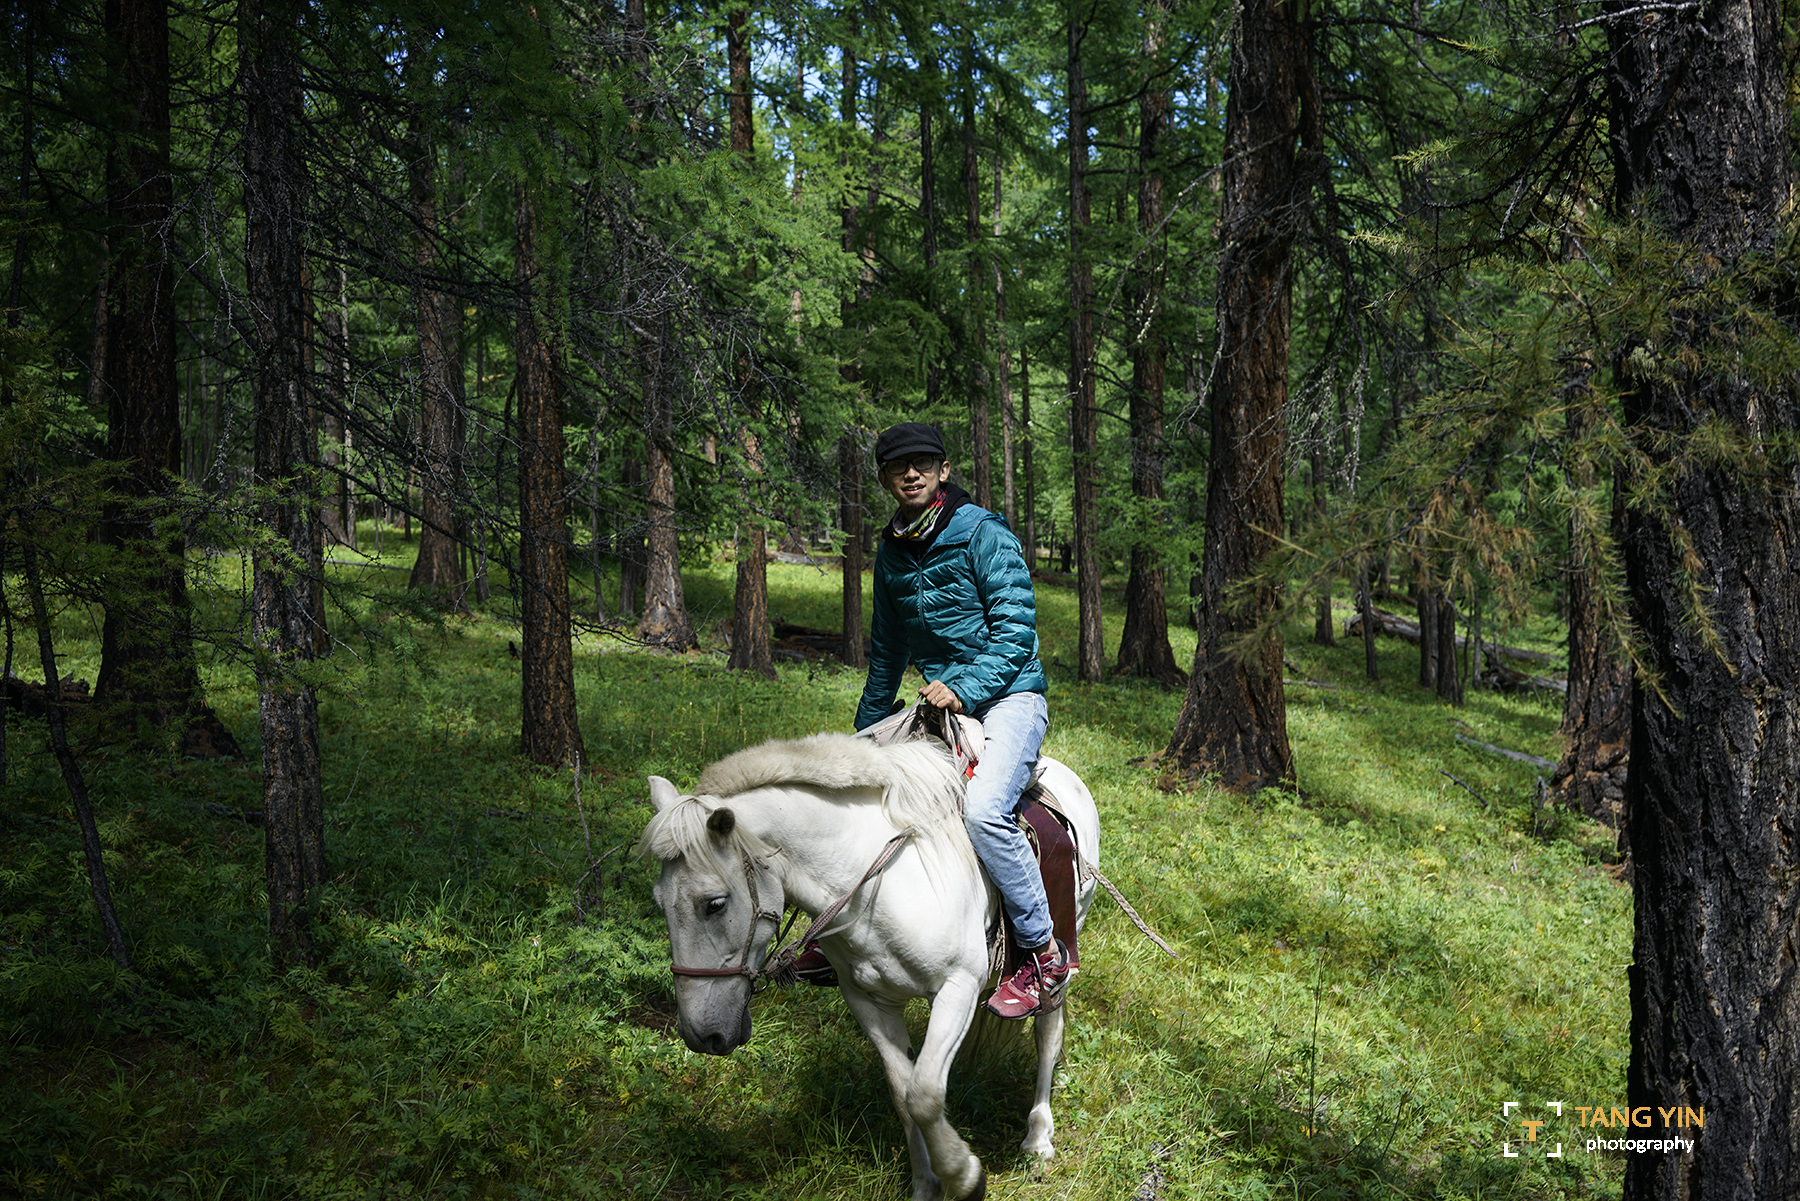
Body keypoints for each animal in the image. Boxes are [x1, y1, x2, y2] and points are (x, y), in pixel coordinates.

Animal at [640, 727, 1101, 1201]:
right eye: (659, 902)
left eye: (713, 903)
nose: (701, 1035)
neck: (874, 884)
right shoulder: (868, 1000)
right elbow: (904, 1094)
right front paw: (925, 1184)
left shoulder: (956, 987)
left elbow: (924, 1095)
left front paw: (964, 1176)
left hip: (1063, 950)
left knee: (1049, 1032)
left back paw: (1038, 1137)